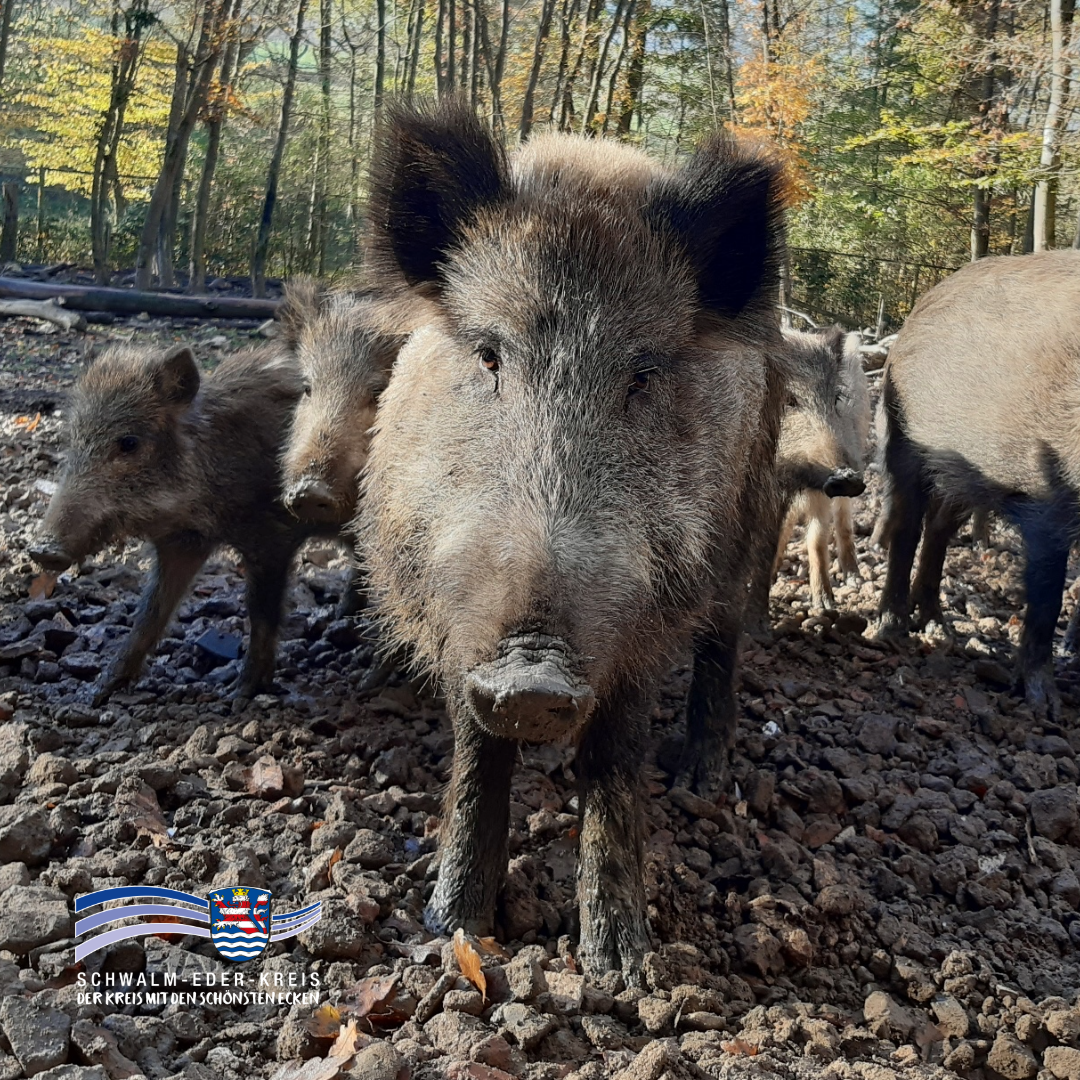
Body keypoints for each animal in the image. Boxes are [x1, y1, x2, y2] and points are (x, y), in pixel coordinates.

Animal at [29, 342, 339, 700]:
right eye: (72, 442)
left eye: (129, 443)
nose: (41, 550)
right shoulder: (181, 543)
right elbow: (150, 614)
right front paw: (97, 691)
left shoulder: (272, 538)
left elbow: (261, 611)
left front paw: (238, 695)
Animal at [360, 101, 787, 978]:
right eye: (489, 354)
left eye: (643, 376)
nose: (534, 677)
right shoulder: (455, 617)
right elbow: (476, 752)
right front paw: (449, 926)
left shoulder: (649, 613)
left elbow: (614, 757)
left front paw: (618, 966)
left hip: (750, 518)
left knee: (724, 641)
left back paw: (700, 780)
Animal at [769, 326, 870, 612]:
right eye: (787, 399)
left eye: (836, 398)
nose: (848, 478)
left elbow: (817, 539)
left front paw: (825, 605)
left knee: (843, 519)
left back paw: (853, 579)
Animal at [876, 249, 1080, 714]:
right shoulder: (1049, 497)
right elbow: (1047, 596)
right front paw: (1045, 705)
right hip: (904, 431)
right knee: (906, 525)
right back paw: (891, 628)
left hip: (964, 476)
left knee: (938, 530)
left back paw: (938, 626)